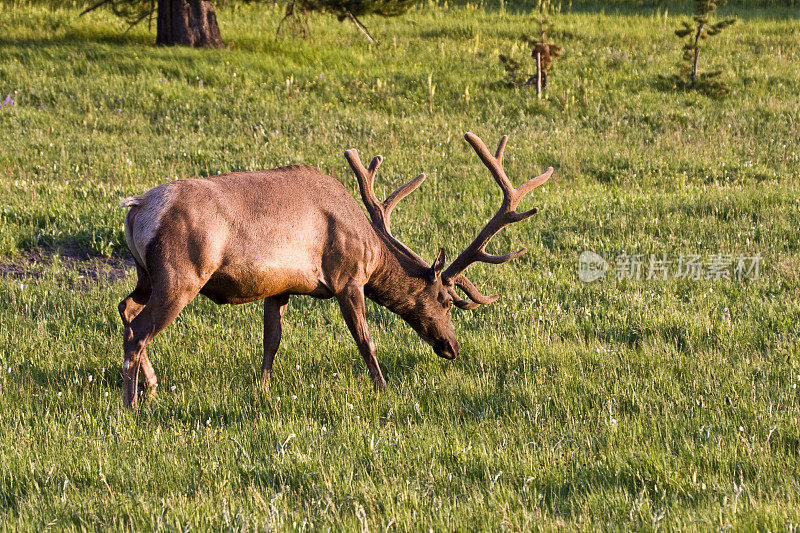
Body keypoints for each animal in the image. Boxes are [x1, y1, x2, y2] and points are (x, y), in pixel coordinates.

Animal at [119, 133, 552, 408]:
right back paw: (132, 405)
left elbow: (271, 342)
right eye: (445, 300)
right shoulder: (347, 277)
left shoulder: (279, 287)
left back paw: (151, 384)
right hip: (180, 274)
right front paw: (383, 389)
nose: (452, 348)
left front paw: (262, 391)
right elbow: (365, 340)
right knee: (138, 331)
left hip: (146, 275)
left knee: (125, 308)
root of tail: (137, 208)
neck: (371, 250)